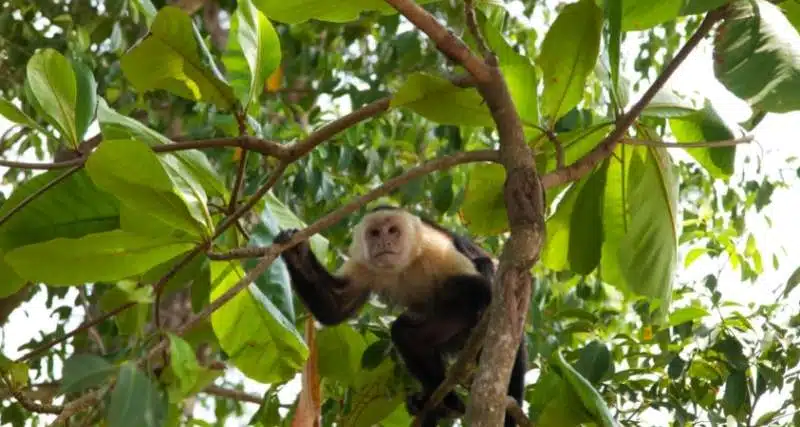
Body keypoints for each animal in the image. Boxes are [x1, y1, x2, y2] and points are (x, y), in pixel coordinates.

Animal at [274, 206, 524, 426]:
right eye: (375, 233)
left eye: (393, 230)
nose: (384, 242)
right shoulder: (364, 263)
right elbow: (335, 307)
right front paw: (296, 253)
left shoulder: (433, 246)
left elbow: (482, 287)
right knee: (409, 337)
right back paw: (442, 402)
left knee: (481, 278)